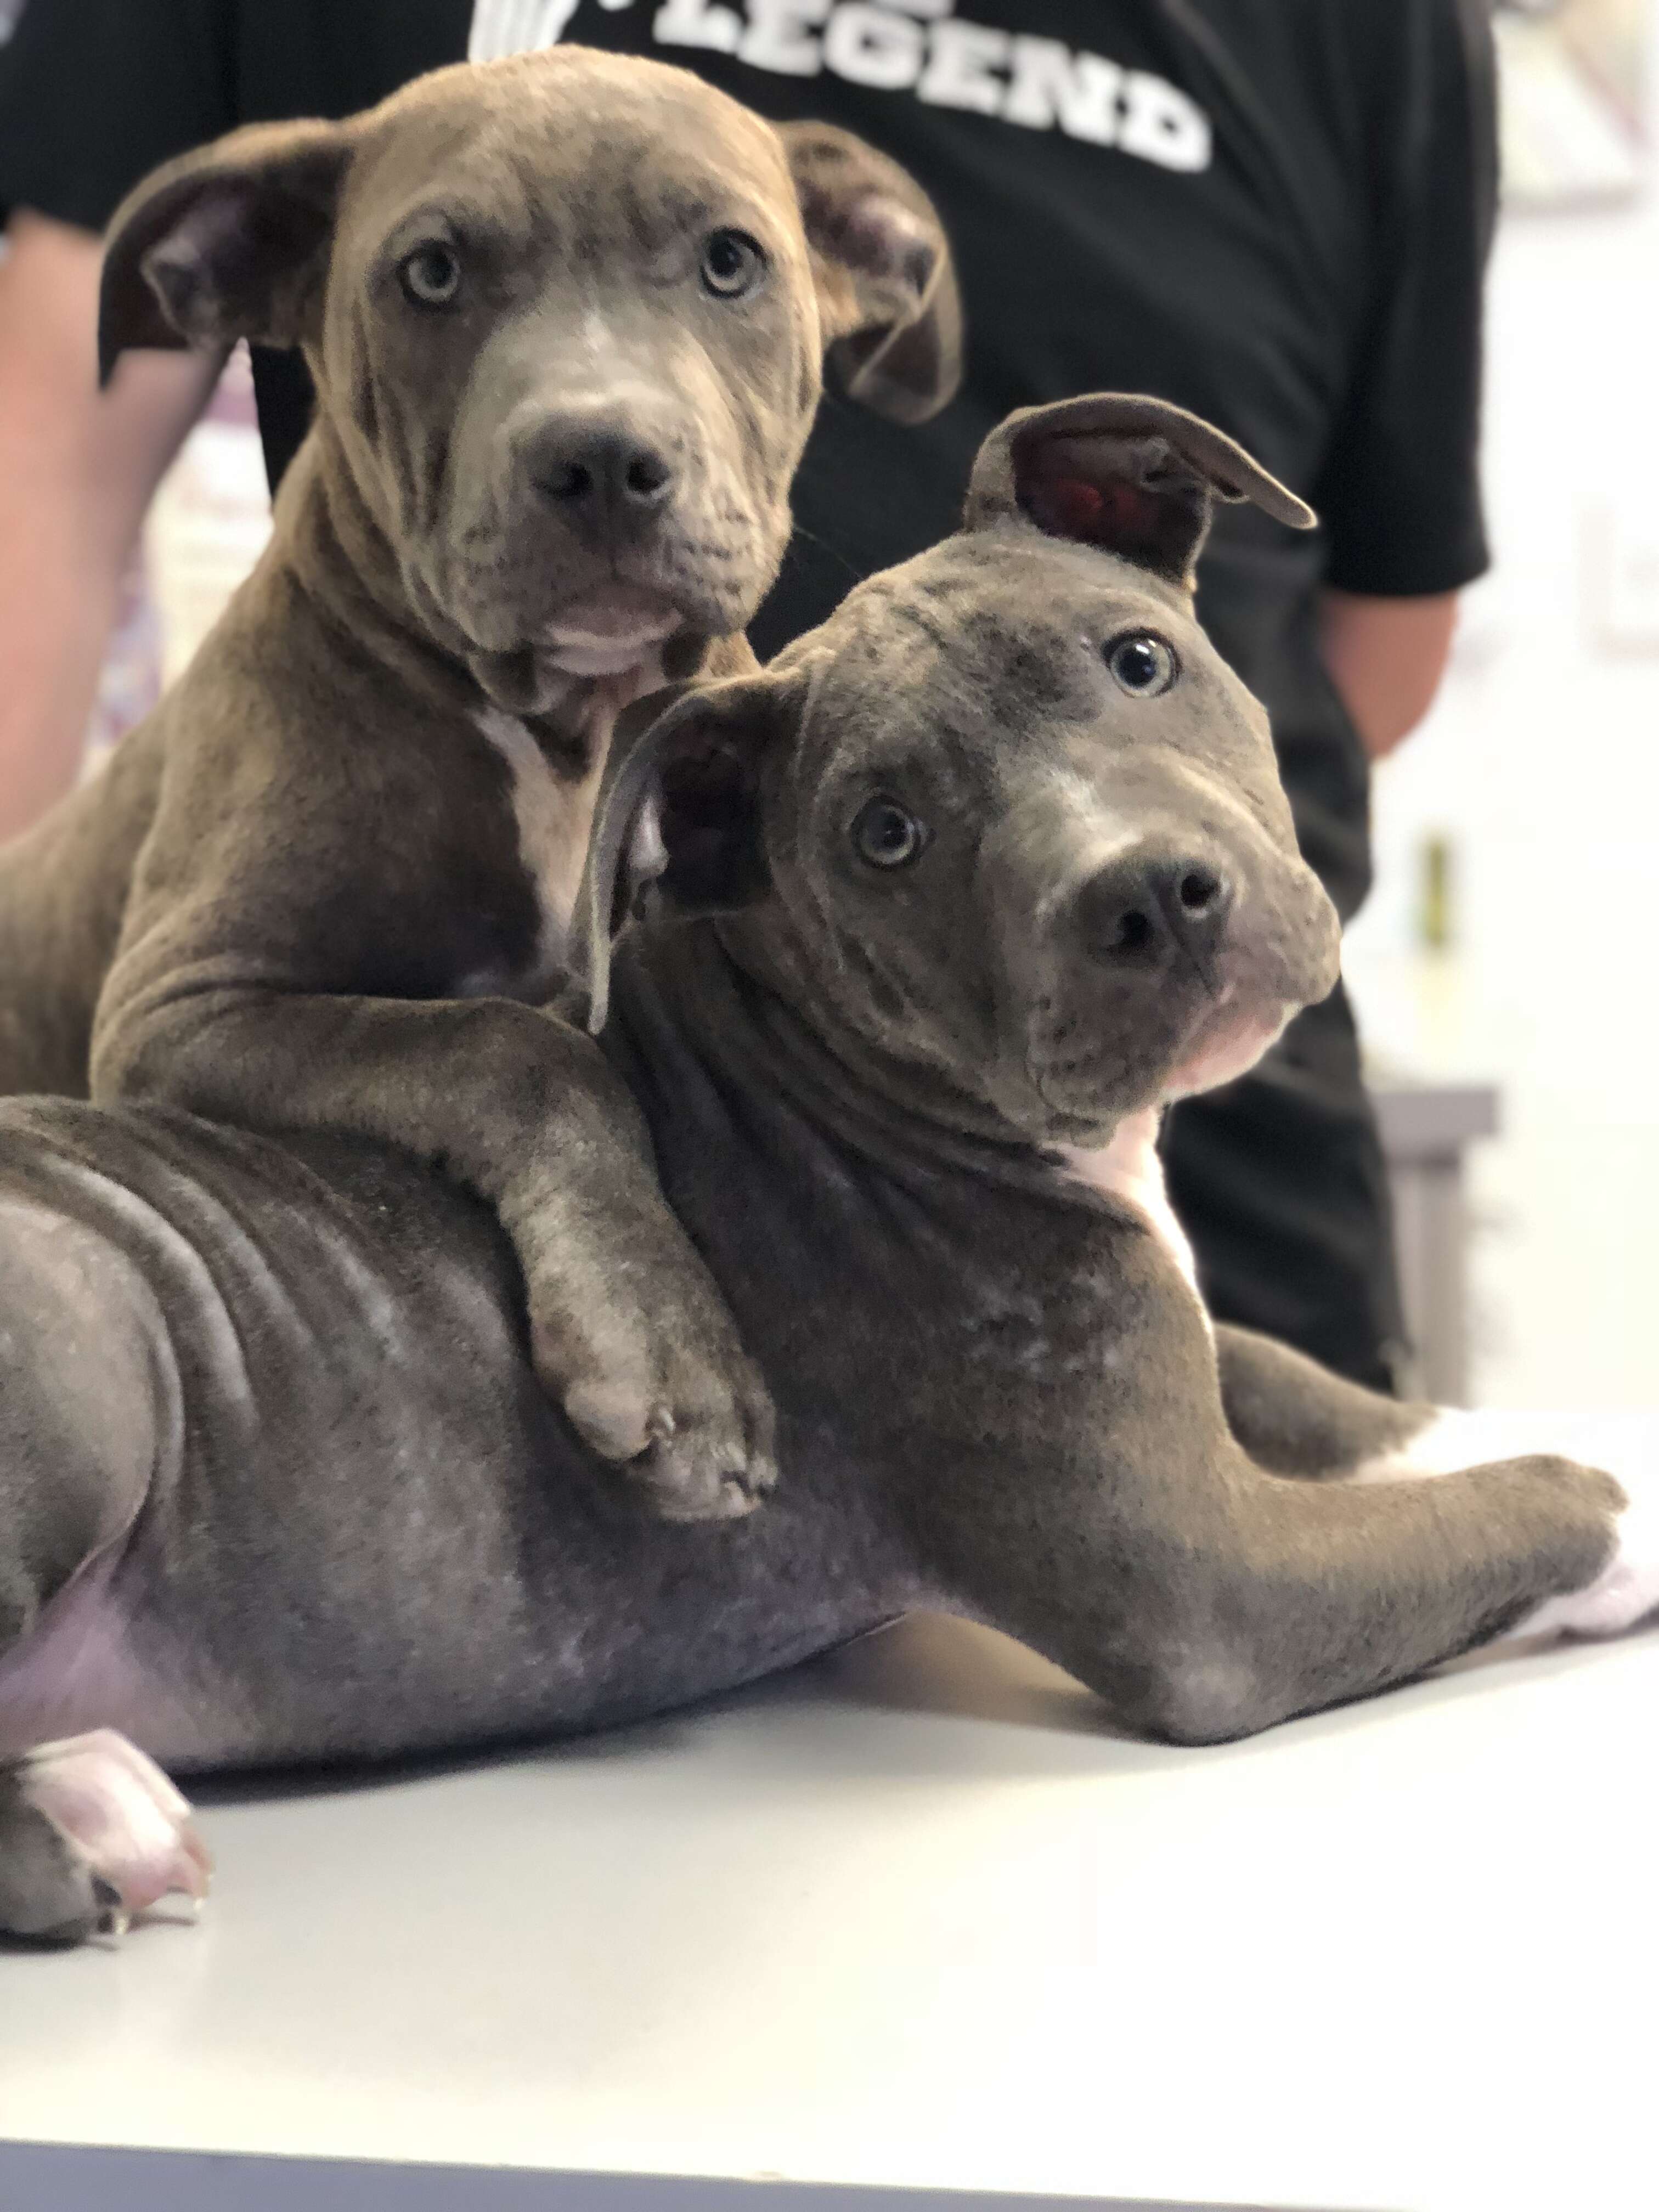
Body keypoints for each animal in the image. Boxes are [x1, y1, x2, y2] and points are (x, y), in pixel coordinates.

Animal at [3, 398, 1659, 1955]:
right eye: (886, 835)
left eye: (1138, 659)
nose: (1152, 895)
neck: (822, 1073)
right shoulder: (1212, 1579)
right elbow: (1510, 1513)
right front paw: (1622, 1503)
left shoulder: (1170, 1352)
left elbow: (1325, 1386)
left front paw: (1550, 1419)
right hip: (91, 1348)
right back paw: (88, 1820)